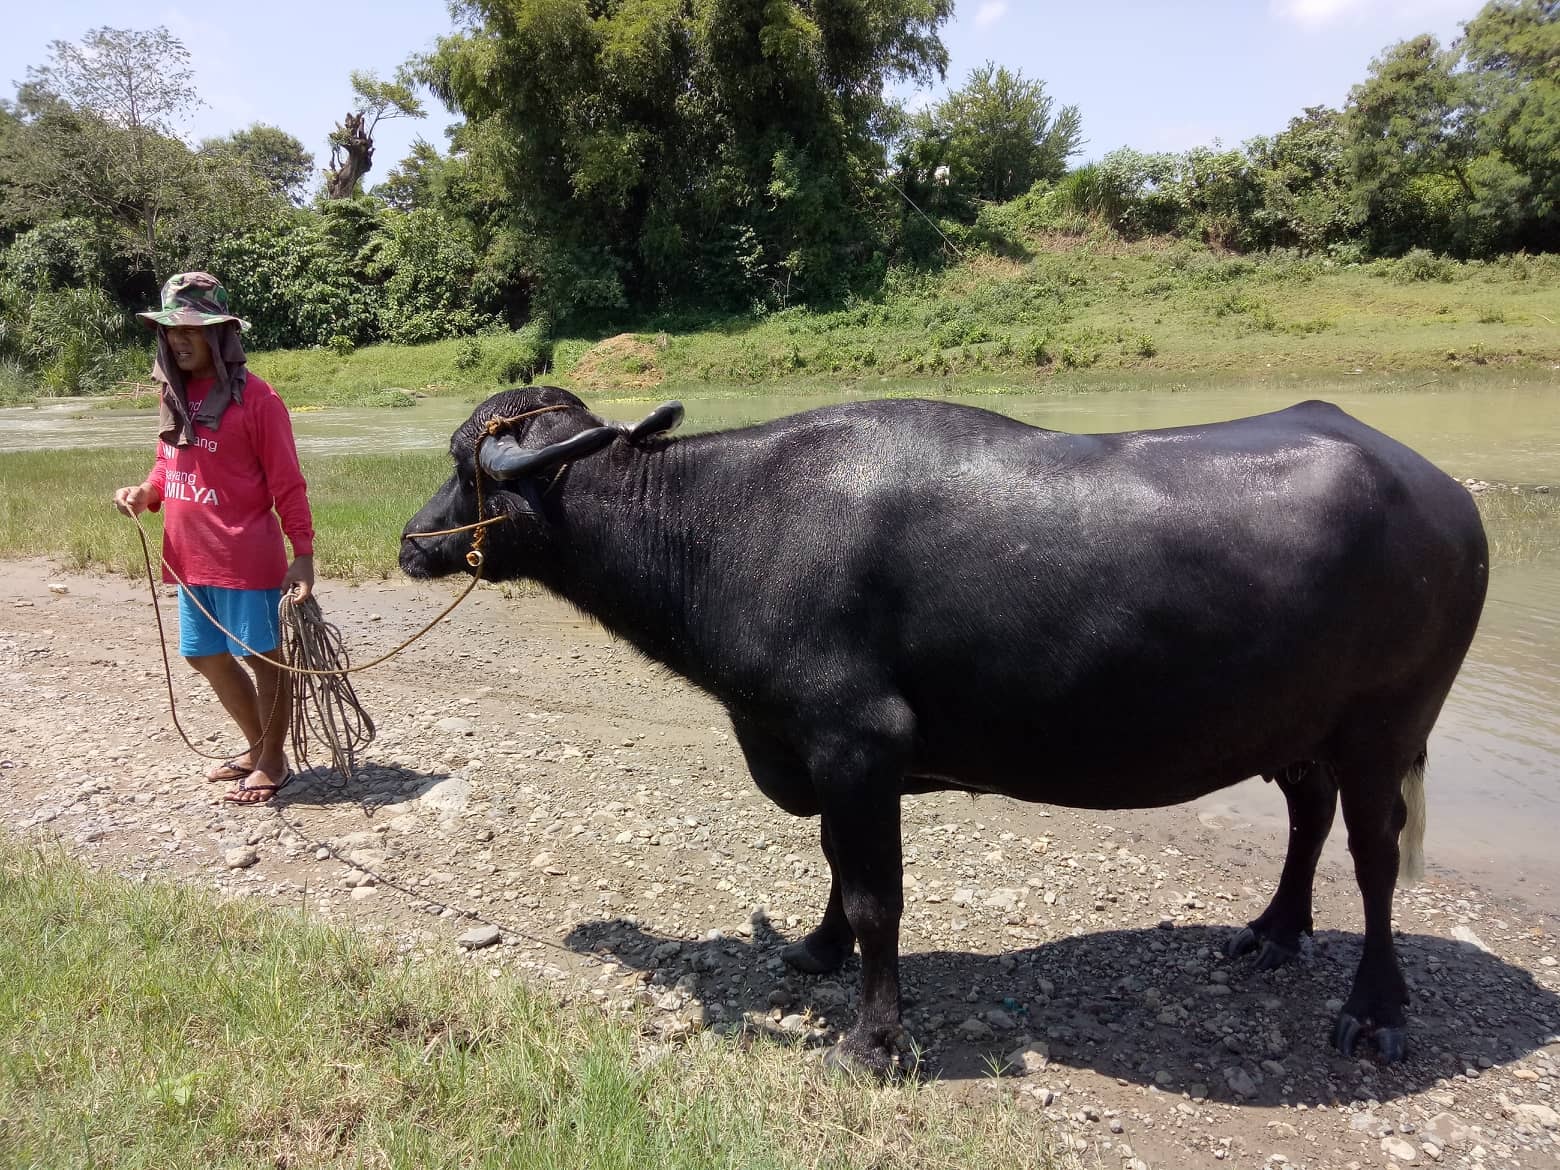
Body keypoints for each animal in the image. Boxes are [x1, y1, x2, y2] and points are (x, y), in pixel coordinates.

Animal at [401, 386, 1487, 1076]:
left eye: (466, 466)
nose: (413, 543)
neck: (726, 526)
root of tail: (1443, 498)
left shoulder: (857, 742)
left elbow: (877, 894)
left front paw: (871, 1042)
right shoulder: (830, 756)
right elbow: (837, 868)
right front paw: (815, 950)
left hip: (1387, 726)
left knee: (1374, 857)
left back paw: (1373, 1011)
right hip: (1299, 730)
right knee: (1307, 818)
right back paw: (1273, 932)